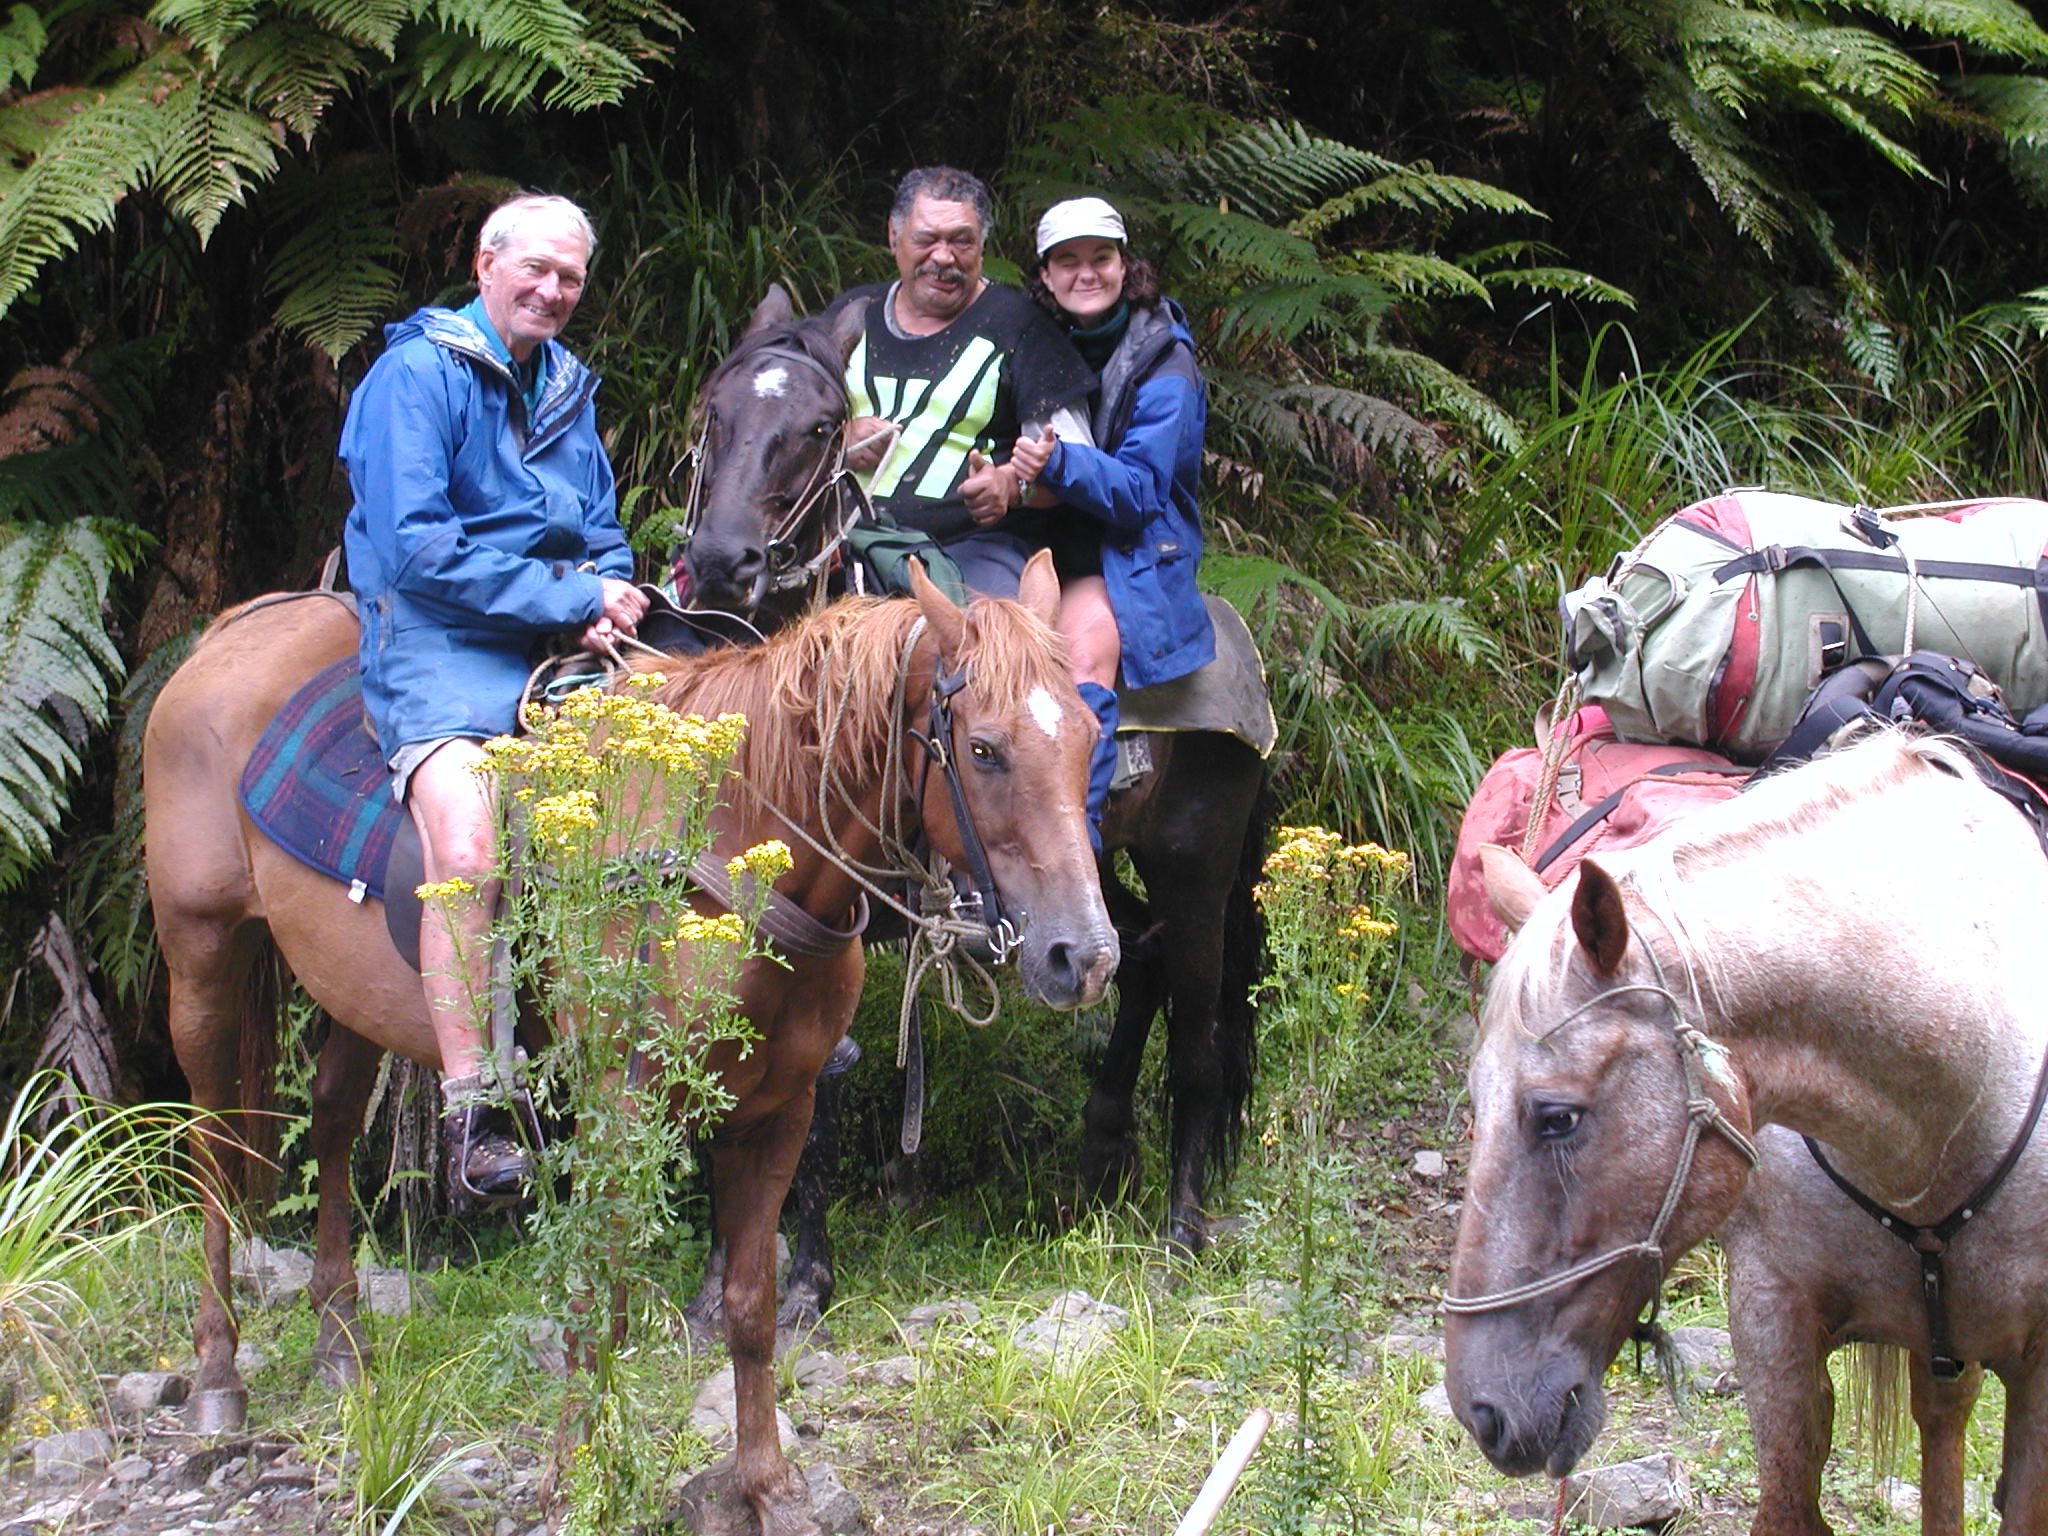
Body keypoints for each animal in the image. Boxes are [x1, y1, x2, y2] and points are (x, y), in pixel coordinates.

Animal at [143, 550, 1116, 1536]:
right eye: (985, 749)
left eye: (1084, 736)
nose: (1084, 956)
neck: (729, 840)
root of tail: (239, 627)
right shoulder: (622, 1106)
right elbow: (596, 1297)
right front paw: (575, 1477)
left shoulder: (779, 1107)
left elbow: (751, 1308)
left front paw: (767, 1483)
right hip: (203, 958)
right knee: (212, 1149)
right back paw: (219, 1373)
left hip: (348, 994)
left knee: (335, 1124)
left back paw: (339, 1342)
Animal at [671, 286, 1270, 1312]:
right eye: (719, 409)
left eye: (820, 427)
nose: (721, 563)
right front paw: (724, 1276)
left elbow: (820, 1078)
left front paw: (806, 1279)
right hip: (1082, 874)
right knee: (1132, 961)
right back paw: (1101, 1153)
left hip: (1193, 869)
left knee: (1194, 1032)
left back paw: (1182, 1229)